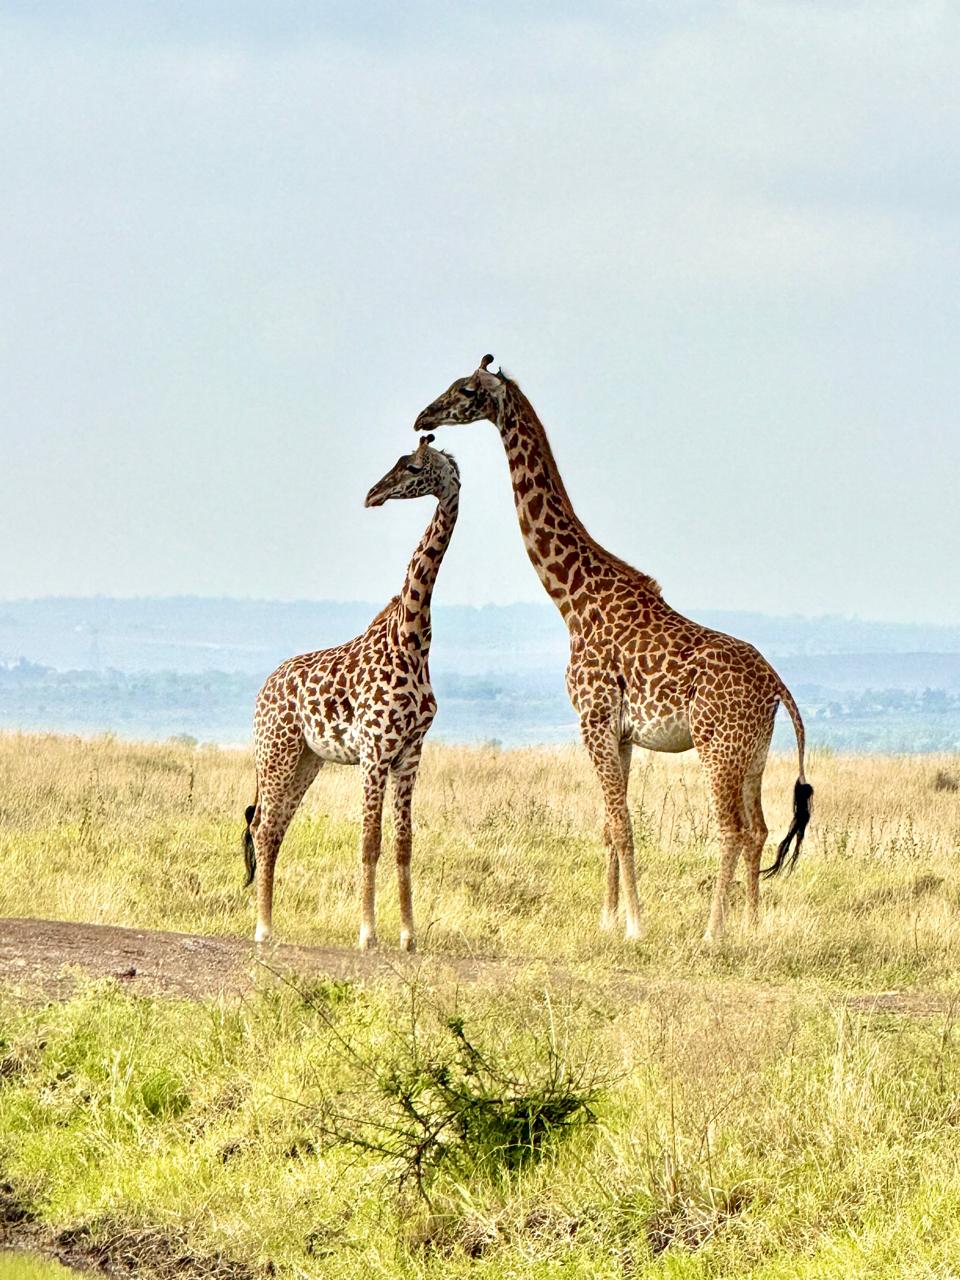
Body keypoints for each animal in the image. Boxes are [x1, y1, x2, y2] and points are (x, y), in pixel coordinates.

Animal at [242, 435, 459, 951]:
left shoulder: (410, 753)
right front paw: (367, 934)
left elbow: (403, 844)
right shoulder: (374, 752)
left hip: (307, 759)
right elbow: (369, 842)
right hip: (276, 751)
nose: (373, 494)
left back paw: (269, 924)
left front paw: (408, 937)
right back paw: (262, 929)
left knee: (276, 827)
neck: (413, 639)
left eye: (413, 466)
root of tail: (263, 689)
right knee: (262, 826)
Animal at [413, 357, 812, 943]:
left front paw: (634, 925)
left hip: (717, 747)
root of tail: (777, 687)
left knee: (732, 829)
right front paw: (607, 918)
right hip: (753, 752)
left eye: (465, 389)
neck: (573, 597)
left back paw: (713, 932)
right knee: (759, 829)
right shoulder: (620, 732)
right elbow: (609, 823)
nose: (423, 416)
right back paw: (752, 926)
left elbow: (621, 826)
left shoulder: (594, 718)